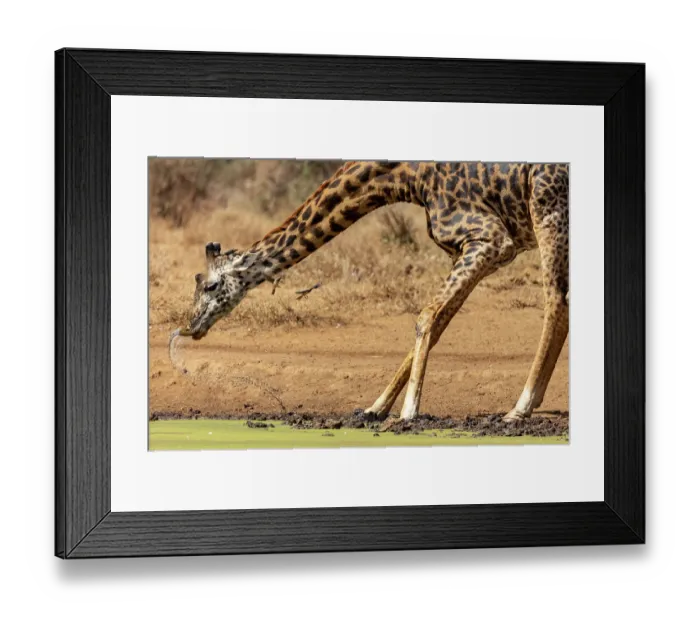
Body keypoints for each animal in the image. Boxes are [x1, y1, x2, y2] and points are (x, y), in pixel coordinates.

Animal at [174, 161, 569, 422]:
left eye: (211, 285)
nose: (192, 327)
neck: (409, 178)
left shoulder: (490, 240)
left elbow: (426, 316)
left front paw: (408, 412)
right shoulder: (477, 250)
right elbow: (437, 323)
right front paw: (375, 408)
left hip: (549, 207)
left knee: (556, 301)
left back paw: (519, 408)